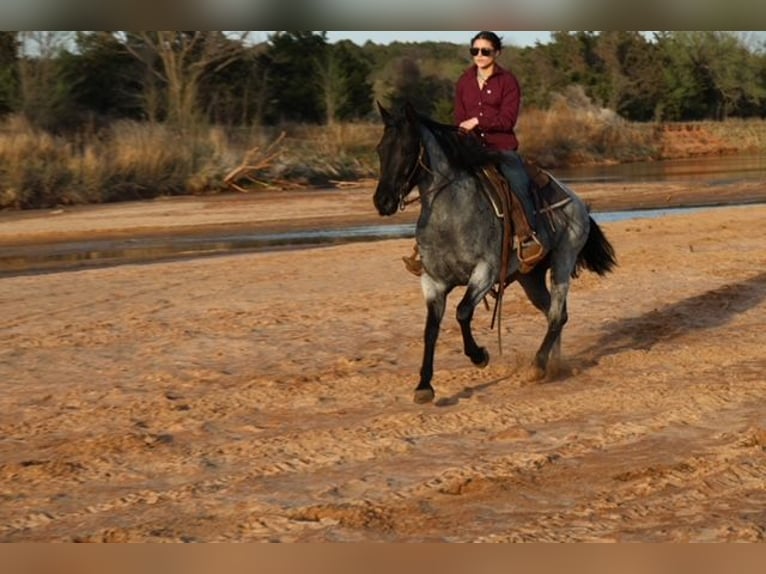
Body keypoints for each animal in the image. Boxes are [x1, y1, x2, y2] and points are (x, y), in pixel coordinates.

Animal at [373, 101, 617, 404]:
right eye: (380, 149)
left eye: (407, 150)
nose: (382, 201)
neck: (450, 216)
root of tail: (577, 201)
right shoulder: (433, 282)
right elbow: (430, 329)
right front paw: (424, 385)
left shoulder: (484, 273)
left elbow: (462, 312)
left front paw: (479, 356)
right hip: (530, 278)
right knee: (555, 314)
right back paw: (553, 364)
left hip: (563, 261)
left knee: (557, 314)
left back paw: (538, 366)